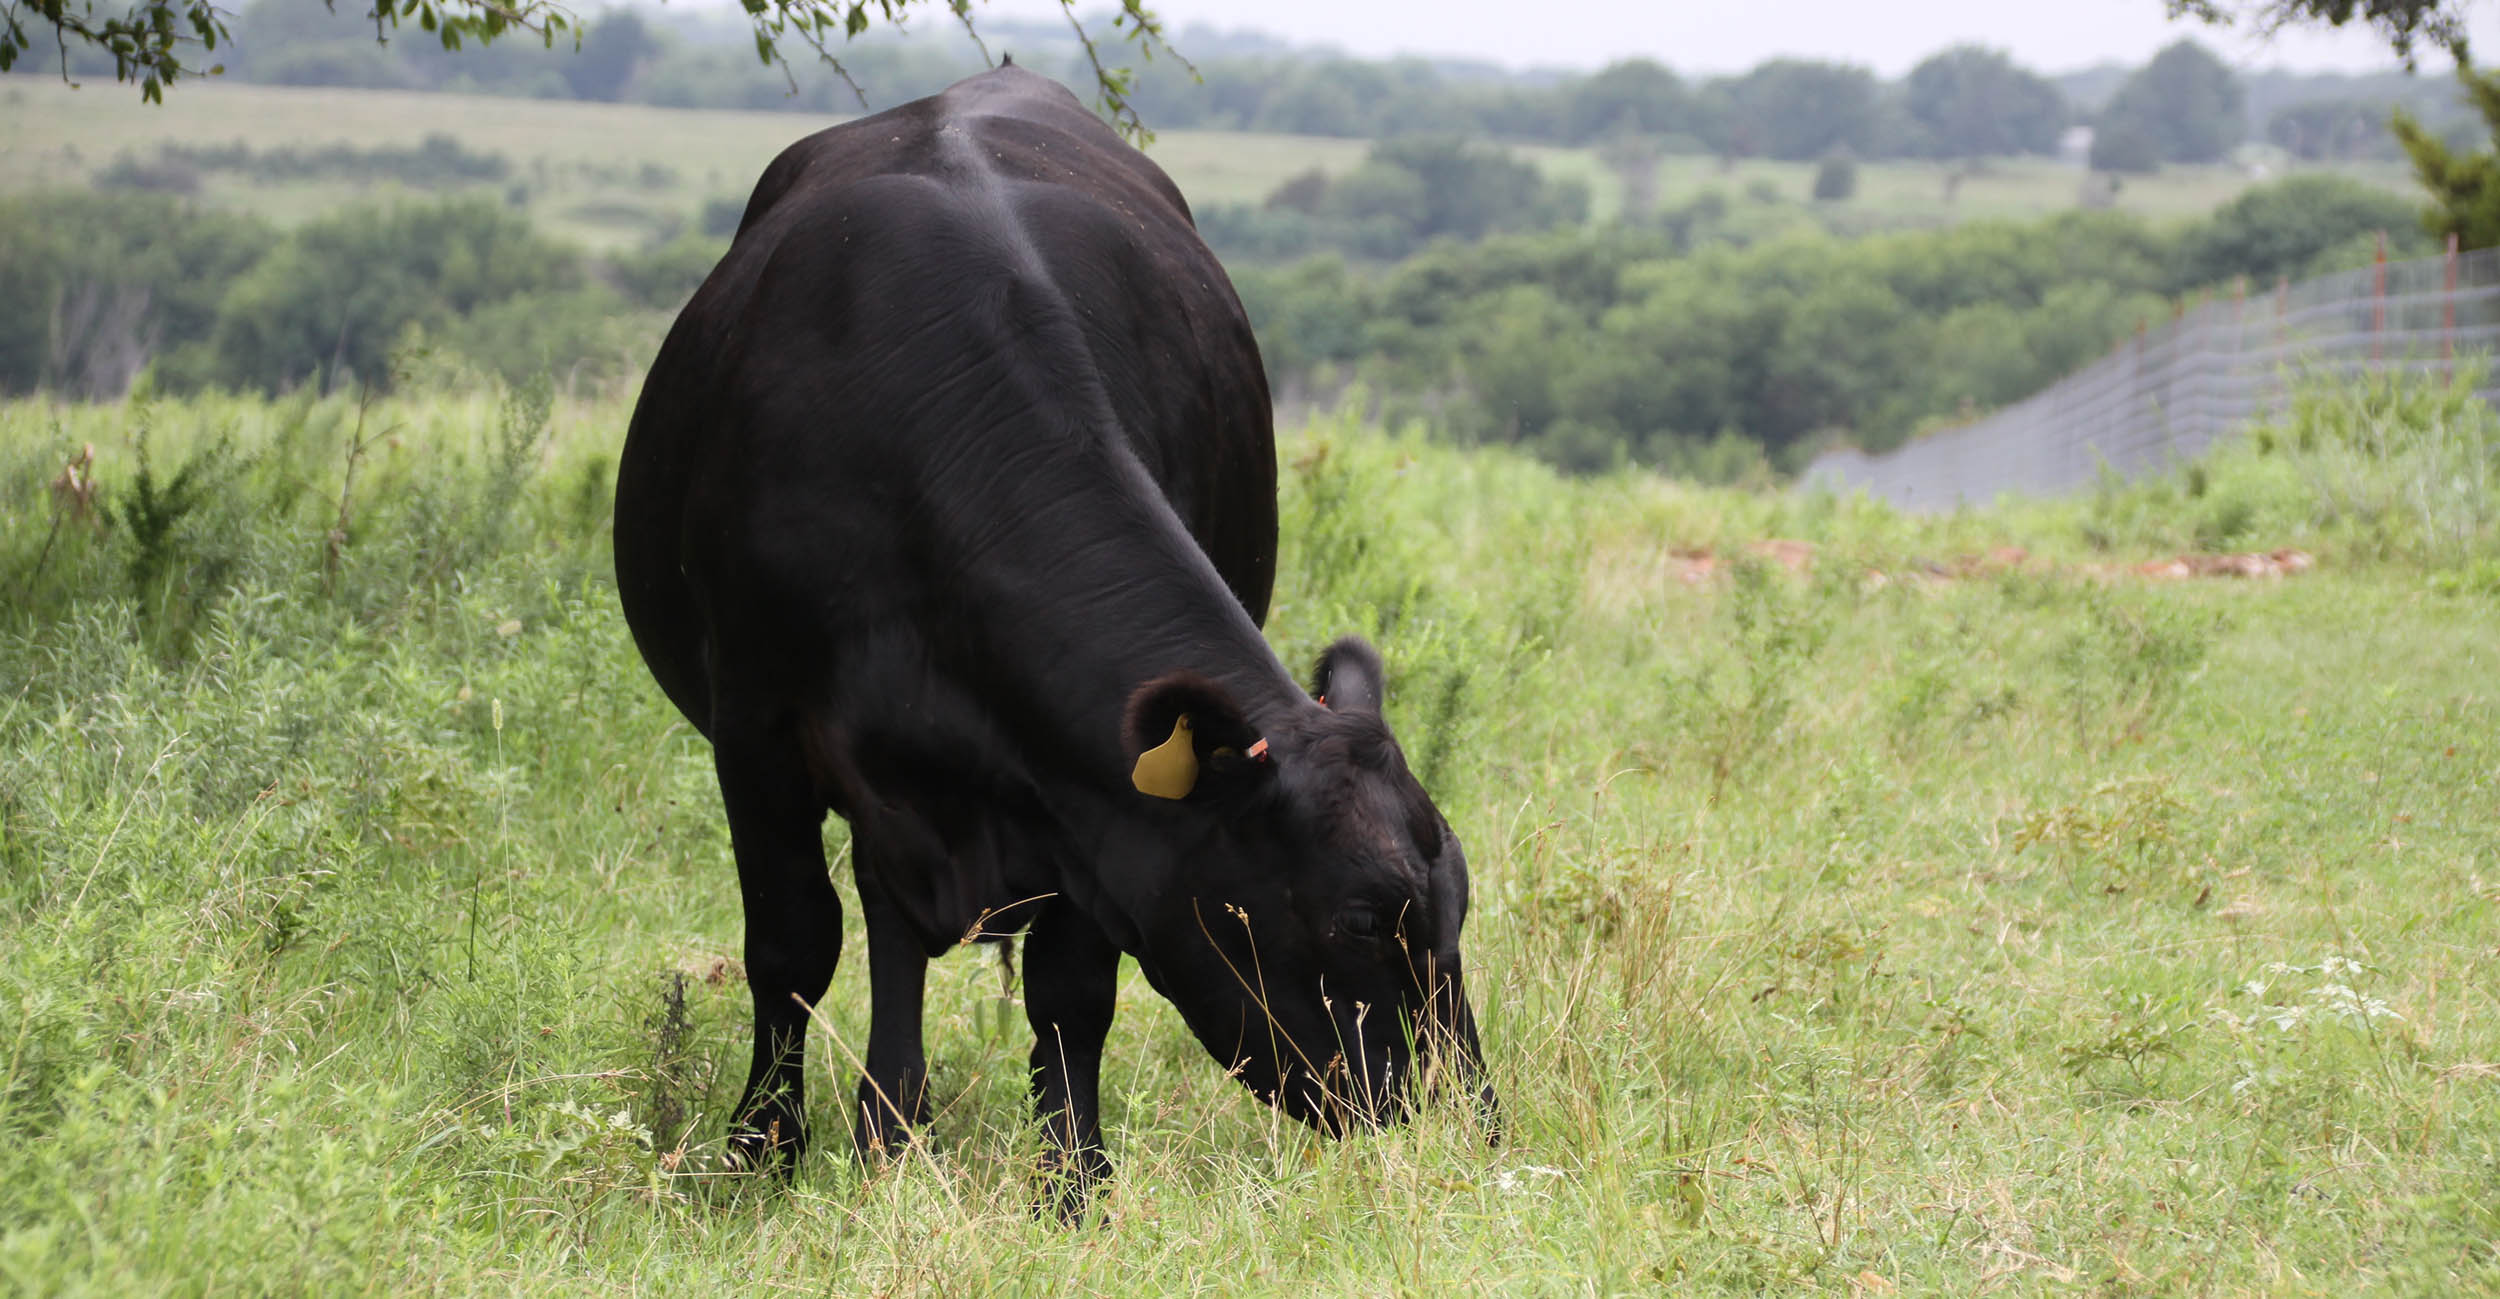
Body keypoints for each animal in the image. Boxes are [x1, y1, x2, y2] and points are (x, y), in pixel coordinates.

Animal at [615, 63, 1490, 1209]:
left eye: (1455, 903)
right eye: (1354, 919)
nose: (1460, 1118)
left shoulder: (1094, 801)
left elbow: (1071, 991)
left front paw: (1074, 1184)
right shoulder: (754, 725)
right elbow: (792, 944)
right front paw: (763, 1147)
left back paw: (893, 1125)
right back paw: (886, 1126)